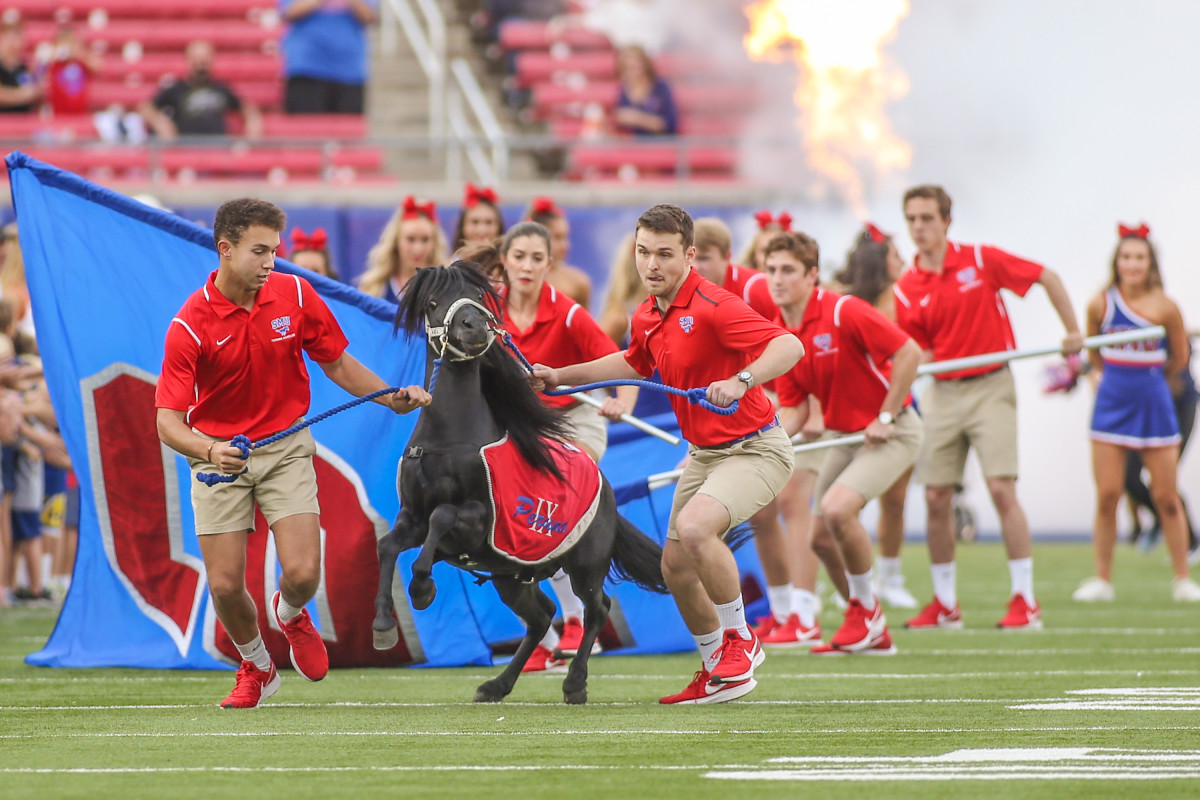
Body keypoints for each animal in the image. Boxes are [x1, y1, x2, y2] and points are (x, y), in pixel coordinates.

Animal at [369, 266, 672, 705]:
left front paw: (422, 588)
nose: (474, 327)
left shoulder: (476, 522)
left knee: (597, 608)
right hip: (508, 577)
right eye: (433, 302)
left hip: (584, 564)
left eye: (478, 295)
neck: (447, 440)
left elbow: (443, 516)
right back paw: (495, 685)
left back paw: (574, 683)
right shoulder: (411, 518)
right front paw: (382, 626)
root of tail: (606, 487)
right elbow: (387, 545)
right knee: (541, 617)